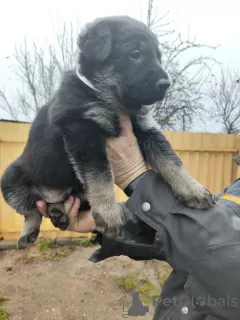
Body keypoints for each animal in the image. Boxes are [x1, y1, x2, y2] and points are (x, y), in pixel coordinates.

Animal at [0, 16, 214, 249]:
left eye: (158, 57)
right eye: (135, 54)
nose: (166, 84)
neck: (109, 99)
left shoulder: (146, 129)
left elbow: (171, 161)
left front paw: (193, 189)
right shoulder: (84, 132)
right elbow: (100, 175)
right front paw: (109, 214)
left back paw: (58, 212)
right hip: (10, 180)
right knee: (31, 211)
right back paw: (28, 233)